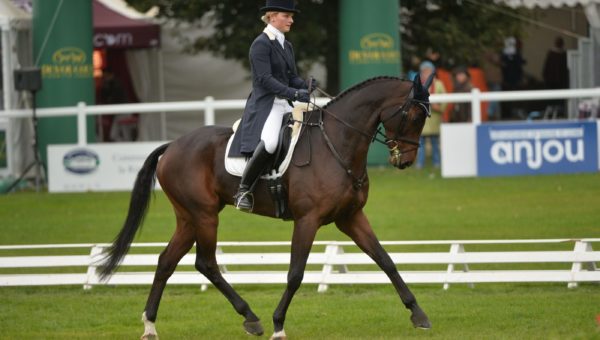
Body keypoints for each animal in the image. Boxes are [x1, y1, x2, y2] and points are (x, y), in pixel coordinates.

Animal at [101, 73, 434, 338]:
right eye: (413, 116)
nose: (404, 161)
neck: (337, 144)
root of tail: (172, 146)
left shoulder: (350, 217)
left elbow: (386, 260)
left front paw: (418, 314)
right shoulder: (307, 220)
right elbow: (295, 273)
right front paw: (278, 325)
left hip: (188, 218)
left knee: (166, 261)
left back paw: (150, 325)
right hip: (204, 215)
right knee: (206, 263)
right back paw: (251, 318)